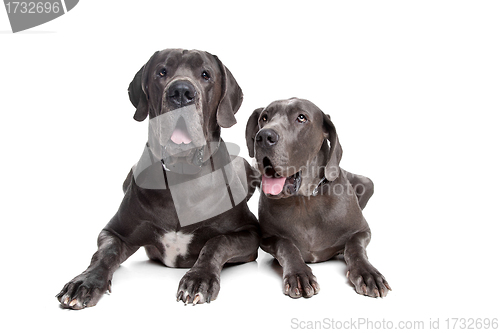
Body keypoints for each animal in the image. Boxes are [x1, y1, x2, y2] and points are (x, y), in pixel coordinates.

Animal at [246, 97, 390, 296]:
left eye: (301, 118)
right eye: (264, 118)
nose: (263, 137)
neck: (305, 200)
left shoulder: (363, 230)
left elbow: (355, 247)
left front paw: (367, 273)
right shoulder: (267, 238)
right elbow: (286, 244)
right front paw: (299, 274)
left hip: (367, 182)